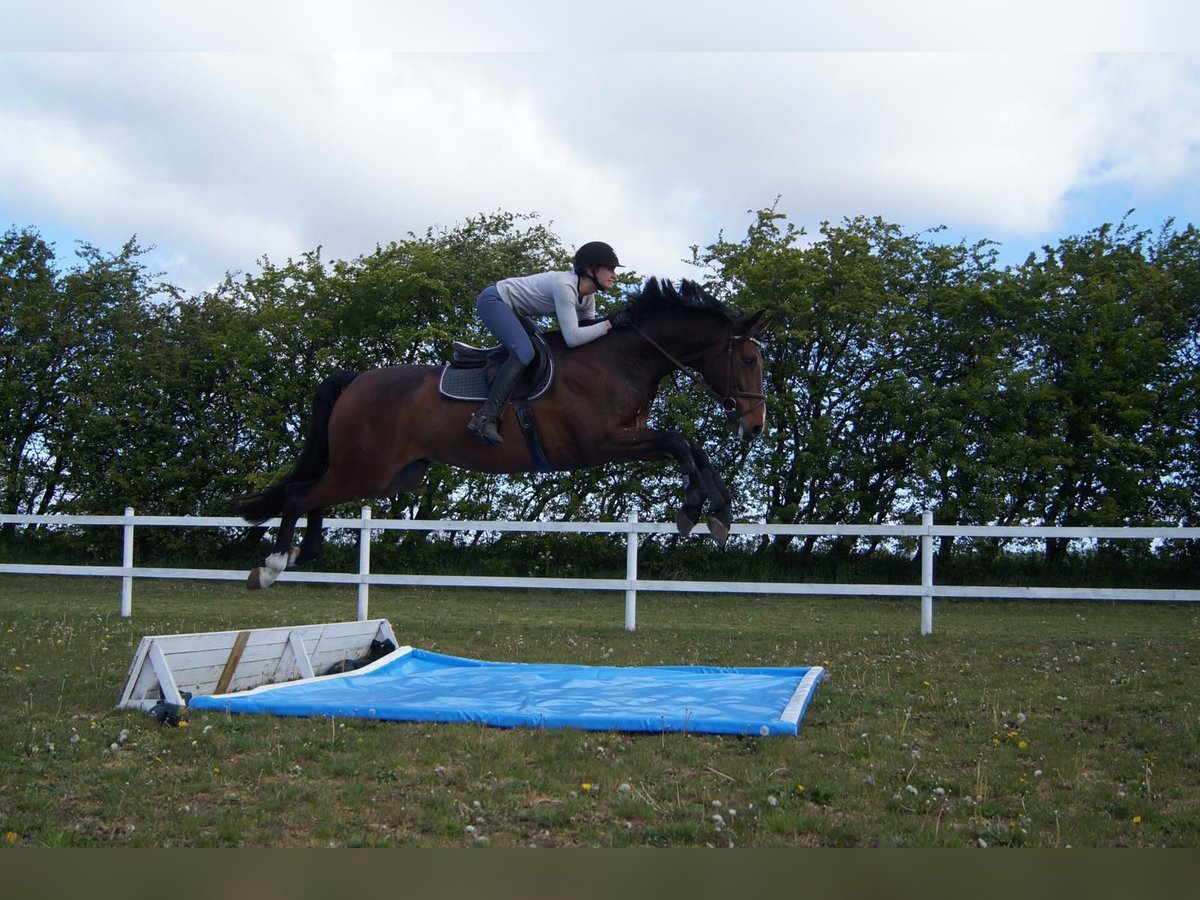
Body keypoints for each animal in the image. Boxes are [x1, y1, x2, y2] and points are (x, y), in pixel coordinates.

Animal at [234, 277, 768, 592]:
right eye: (748, 359)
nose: (756, 425)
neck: (620, 359)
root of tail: (355, 379)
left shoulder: (629, 437)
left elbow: (691, 448)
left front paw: (716, 513)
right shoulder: (602, 443)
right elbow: (681, 443)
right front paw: (696, 509)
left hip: (385, 475)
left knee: (313, 492)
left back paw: (304, 551)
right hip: (368, 469)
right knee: (301, 493)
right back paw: (273, 564)